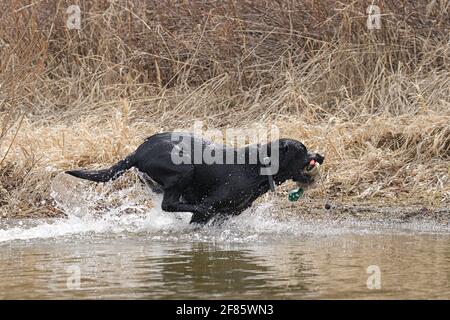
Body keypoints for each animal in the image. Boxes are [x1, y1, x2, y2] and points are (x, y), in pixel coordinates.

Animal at [66, 131, 324, 224]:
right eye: (303, 150)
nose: (320, 155)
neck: (255, 168)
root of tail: (137, 152)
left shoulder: (228, 214)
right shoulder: (213, 208)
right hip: (184, 168)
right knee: (170, 204)